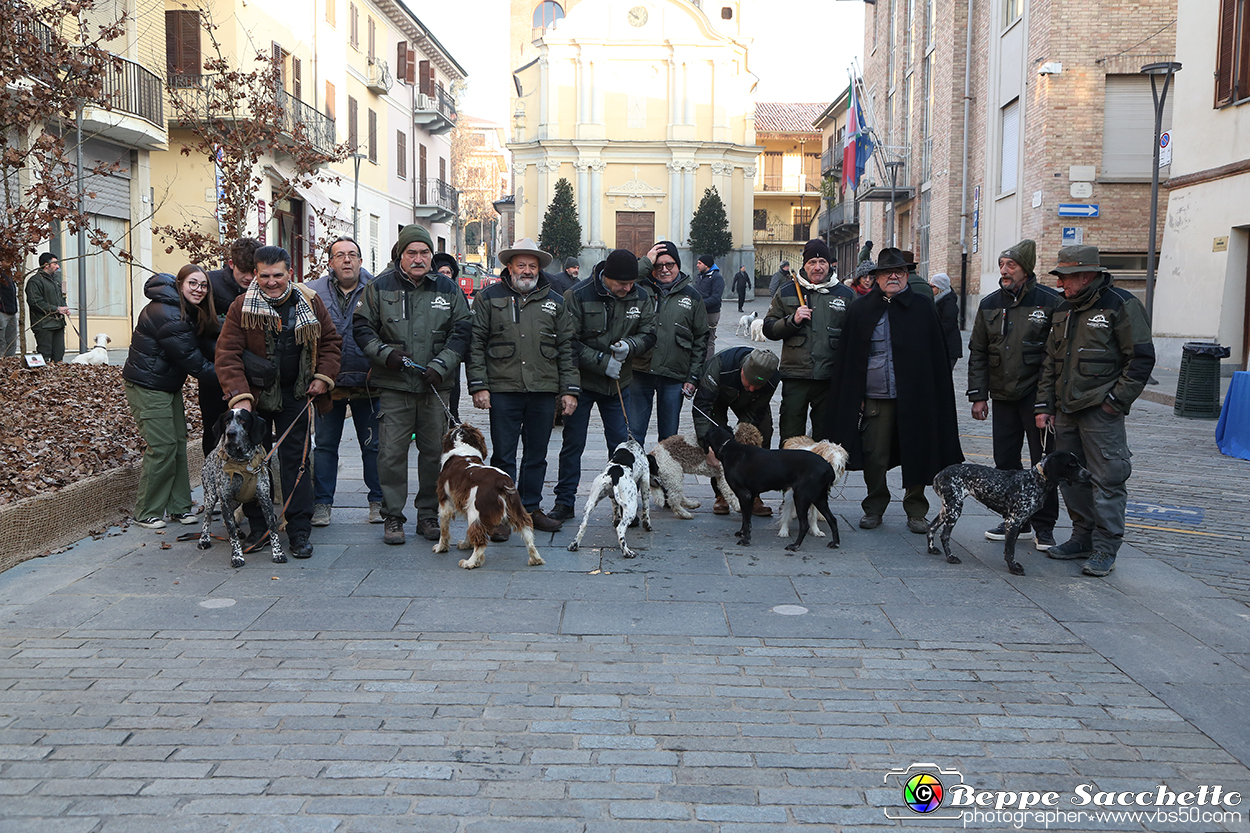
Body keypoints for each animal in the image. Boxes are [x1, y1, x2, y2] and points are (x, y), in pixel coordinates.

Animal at [435, 425, 542, 567]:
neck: (462, 449)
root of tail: (502, 482)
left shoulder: (445, 503)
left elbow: (444, 529)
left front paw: (440, 547)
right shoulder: (466, 504)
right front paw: (466, 544)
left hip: (477, 512)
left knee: (480, 541)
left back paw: (470, 562)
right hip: (516, 509)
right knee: (527, 532)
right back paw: (536, 559)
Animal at [705, 422, 840, 550]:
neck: (729, 447)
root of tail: (828, 466)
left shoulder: (744, 494)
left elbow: (746, 518)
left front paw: (746, 539)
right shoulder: (750, 495)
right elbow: (746, 518)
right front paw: (743, 533)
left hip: (801, 497)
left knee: (805, 525)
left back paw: (795, 546)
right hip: (819, 498)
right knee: (832, 519)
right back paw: (835, 543)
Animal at [930, 450, 1095, 575]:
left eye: (1077, 462)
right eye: (1072, 464)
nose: (1089, 474)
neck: (1035, 480)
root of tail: (939, 475)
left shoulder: (1019, 523)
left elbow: (1010, 548)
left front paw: (1012, 565)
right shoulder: (1013, 521)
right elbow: (1010, 549)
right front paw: (1013, 568)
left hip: (948, 509)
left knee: (932, 527)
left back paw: (931, 549)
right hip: (954, 509)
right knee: (944, 535)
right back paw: (950, 557)